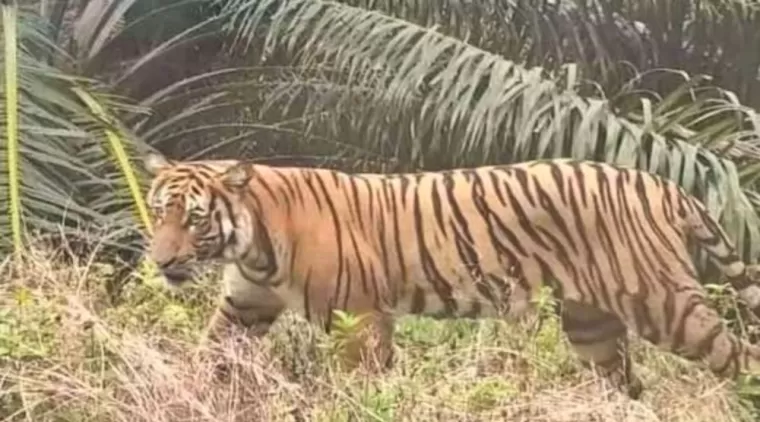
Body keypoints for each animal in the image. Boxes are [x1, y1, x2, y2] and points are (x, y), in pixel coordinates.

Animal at [144, 152, 760, 398]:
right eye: (158, 211)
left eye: (194, 218)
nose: (161, 261)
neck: (251, 245)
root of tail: (662, 182)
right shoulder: (245, 306)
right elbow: (210, 355)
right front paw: (183, 391)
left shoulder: (359, 317)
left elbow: (361, 382)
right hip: (593, 326)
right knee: (627, 385)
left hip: (667, 305)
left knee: (740, 356)